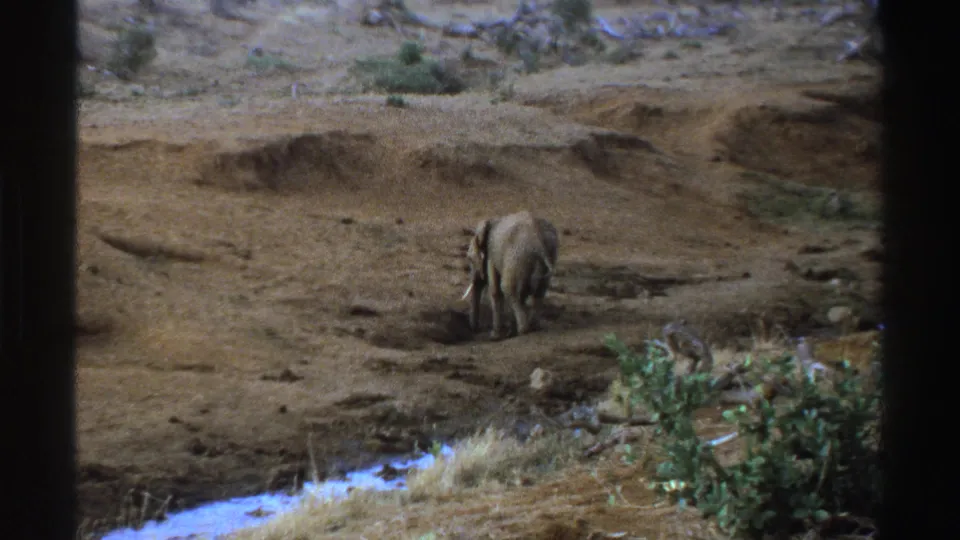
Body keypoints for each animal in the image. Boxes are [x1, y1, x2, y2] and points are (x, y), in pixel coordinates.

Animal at [461, 211, 559, 340]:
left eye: (470, 259)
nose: (475, 330)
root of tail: (538, 240)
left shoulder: (492, 254)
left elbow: (496, 290)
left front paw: (495, 336)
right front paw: (509, 332)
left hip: (517, 255)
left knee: (507, 287)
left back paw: (523, 330)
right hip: (547, 253)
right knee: (539, 291)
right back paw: (533, 327)